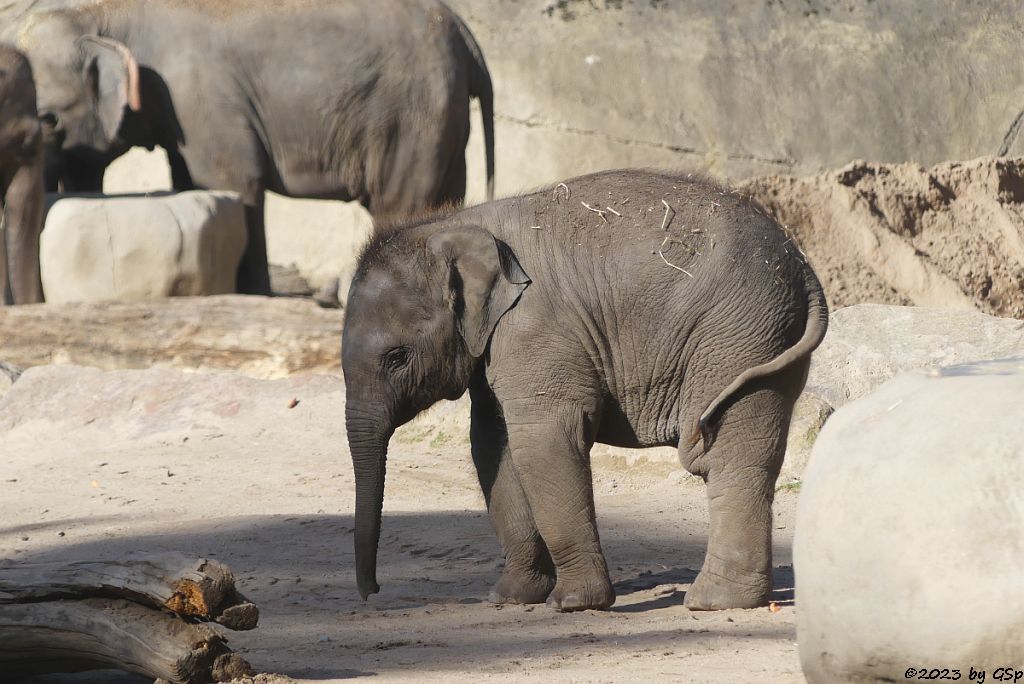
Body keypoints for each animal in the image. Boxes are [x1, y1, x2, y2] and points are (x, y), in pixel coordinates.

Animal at [14, 0, 495, 294]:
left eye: (49, 119)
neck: (105, 13)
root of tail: (466, 35)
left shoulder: (199, 98)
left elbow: (231, 180)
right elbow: (190, 180)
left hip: (410, 114)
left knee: (397, 203)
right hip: (444, 118)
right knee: (446, 194)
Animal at [339, 167, 827, 610]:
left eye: (397, 357)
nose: (374, 593)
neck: (454, 223)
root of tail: (802, 264)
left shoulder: (536, 327)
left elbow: (543, 439)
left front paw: (572, 603)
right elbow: (492, 444)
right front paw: (510, 597)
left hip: (738, 337)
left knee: (726, 456)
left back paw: (711, 602)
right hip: (768, 341)